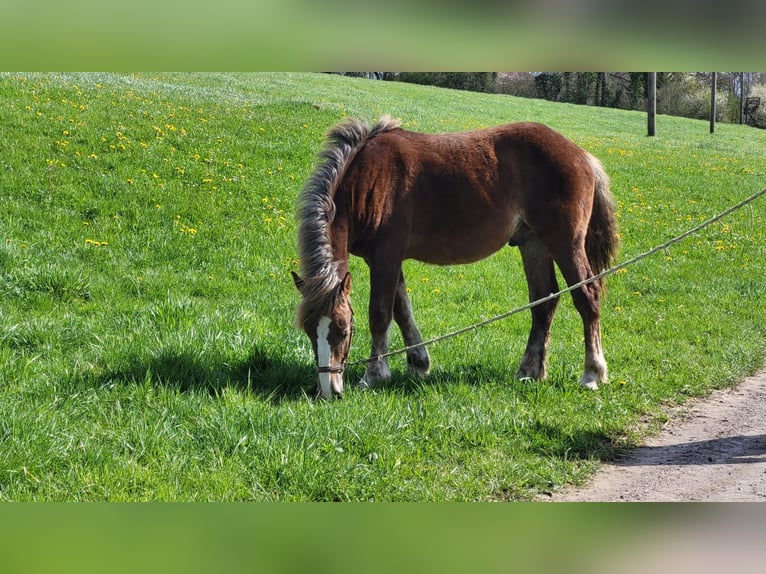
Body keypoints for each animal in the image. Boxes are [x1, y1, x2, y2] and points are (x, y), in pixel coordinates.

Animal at [292, 115, 620, 398]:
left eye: (343, 328)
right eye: (309, 329)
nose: (328, 391)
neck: (368, 179)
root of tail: (581, 155)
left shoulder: (386, 256)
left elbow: (380, 313)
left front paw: (373, 375)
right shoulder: (383, 260)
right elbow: (402, 310)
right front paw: (418, 363)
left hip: (565, 243)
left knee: (587, 296)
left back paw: (592, 373)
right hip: (534, 244)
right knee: (544, 301)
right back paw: (529, 371)